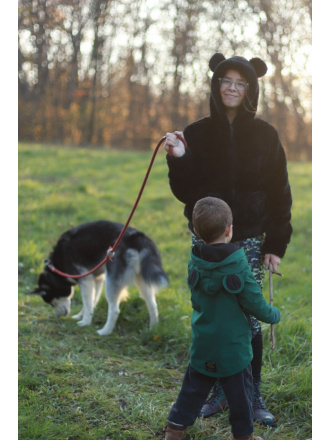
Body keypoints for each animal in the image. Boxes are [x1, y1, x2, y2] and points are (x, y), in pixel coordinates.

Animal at [31, 222, 169, 336]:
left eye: (52, 303)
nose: (59, 316)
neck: (57, 267)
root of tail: (137, 237)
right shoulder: (97, 279)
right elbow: (92, 301)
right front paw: (81, 316)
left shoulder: (86, 281)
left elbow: (88, 303)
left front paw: (85, 322)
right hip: (143, 282)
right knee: (152, 305)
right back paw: (153, 329)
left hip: (111, 283)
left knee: (114, 310)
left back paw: (105, 331)